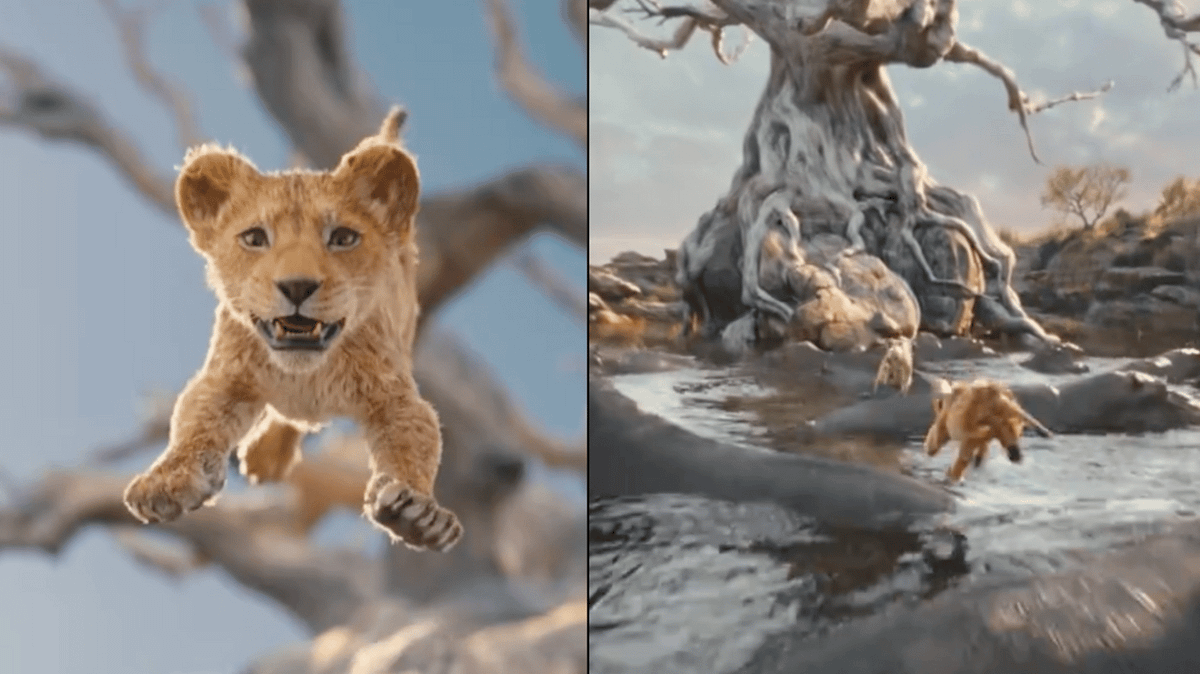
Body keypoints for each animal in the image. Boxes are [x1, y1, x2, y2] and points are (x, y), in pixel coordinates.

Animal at [122, 107, 462, 552]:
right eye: (254, 237)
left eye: (343, 237)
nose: (297, 286)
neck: (307, 374)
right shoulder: (225, 377)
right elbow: (194, 423)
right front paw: (166, 482)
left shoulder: (395, 395)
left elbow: (414, 444)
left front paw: (418, 514)